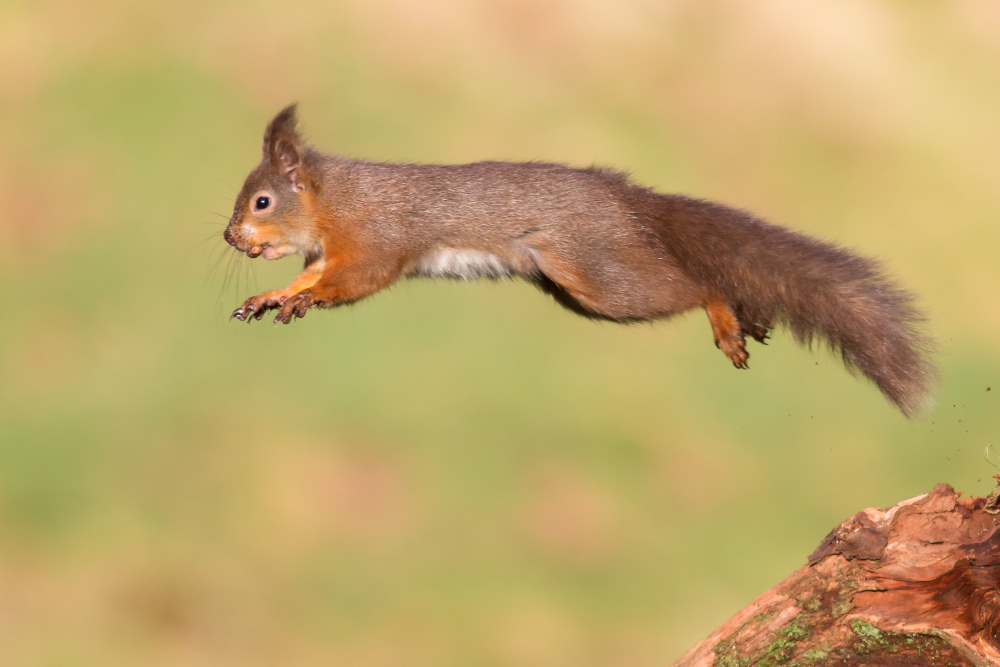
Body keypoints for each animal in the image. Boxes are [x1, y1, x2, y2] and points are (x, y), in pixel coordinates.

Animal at [223, 104, 932, 414]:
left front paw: (306, 296)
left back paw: (724, 314)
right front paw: (274, 296)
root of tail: (630, 201)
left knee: (692, 283)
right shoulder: (332, 249)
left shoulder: (375, 238)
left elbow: (354, 279)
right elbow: (310, 273)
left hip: (601, 279)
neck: (333, 199)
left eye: (261, 201)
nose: (231, 237)